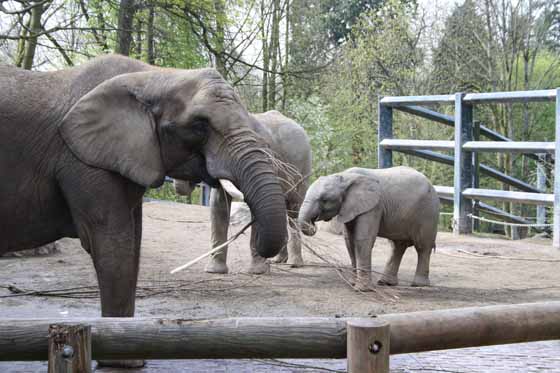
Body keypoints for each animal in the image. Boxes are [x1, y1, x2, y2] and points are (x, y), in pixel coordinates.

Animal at [175, 110, 312, 274]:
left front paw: (257, 271)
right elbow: (219, 205)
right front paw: (214, 271)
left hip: (302, 170)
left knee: (293, 210)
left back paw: (294, 264)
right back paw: (279, 261)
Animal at [300, 166, 440, 290]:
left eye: (324, 200)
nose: (313, 224)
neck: (345, 177)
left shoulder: (373, 206)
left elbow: (362, 240)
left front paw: (362, 289)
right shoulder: (351, 207)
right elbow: (349, 241)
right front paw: (352, 283)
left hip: (428, 213)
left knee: (422, 246)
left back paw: (419, 285)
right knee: (397, 246)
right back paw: (385, 283)